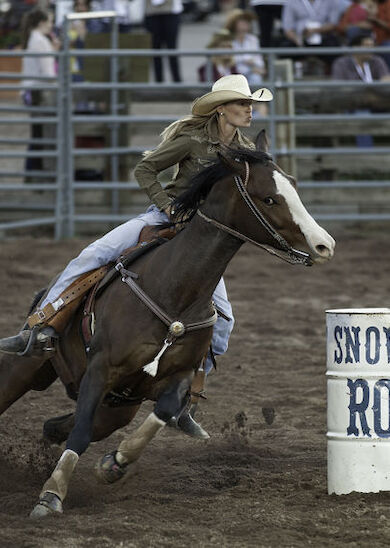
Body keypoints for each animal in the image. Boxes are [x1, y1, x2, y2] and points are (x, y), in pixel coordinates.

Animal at [0, 131, 336, 516]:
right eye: (269, 197)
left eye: (293, 185)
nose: (325, 245)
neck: (173, 289)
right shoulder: (101, 367)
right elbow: (81, 432)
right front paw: (50, 496)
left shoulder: (179, 375)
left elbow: (166, 409)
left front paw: (115, 462)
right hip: (26, 369)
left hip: (118, 408)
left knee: (60, 426)